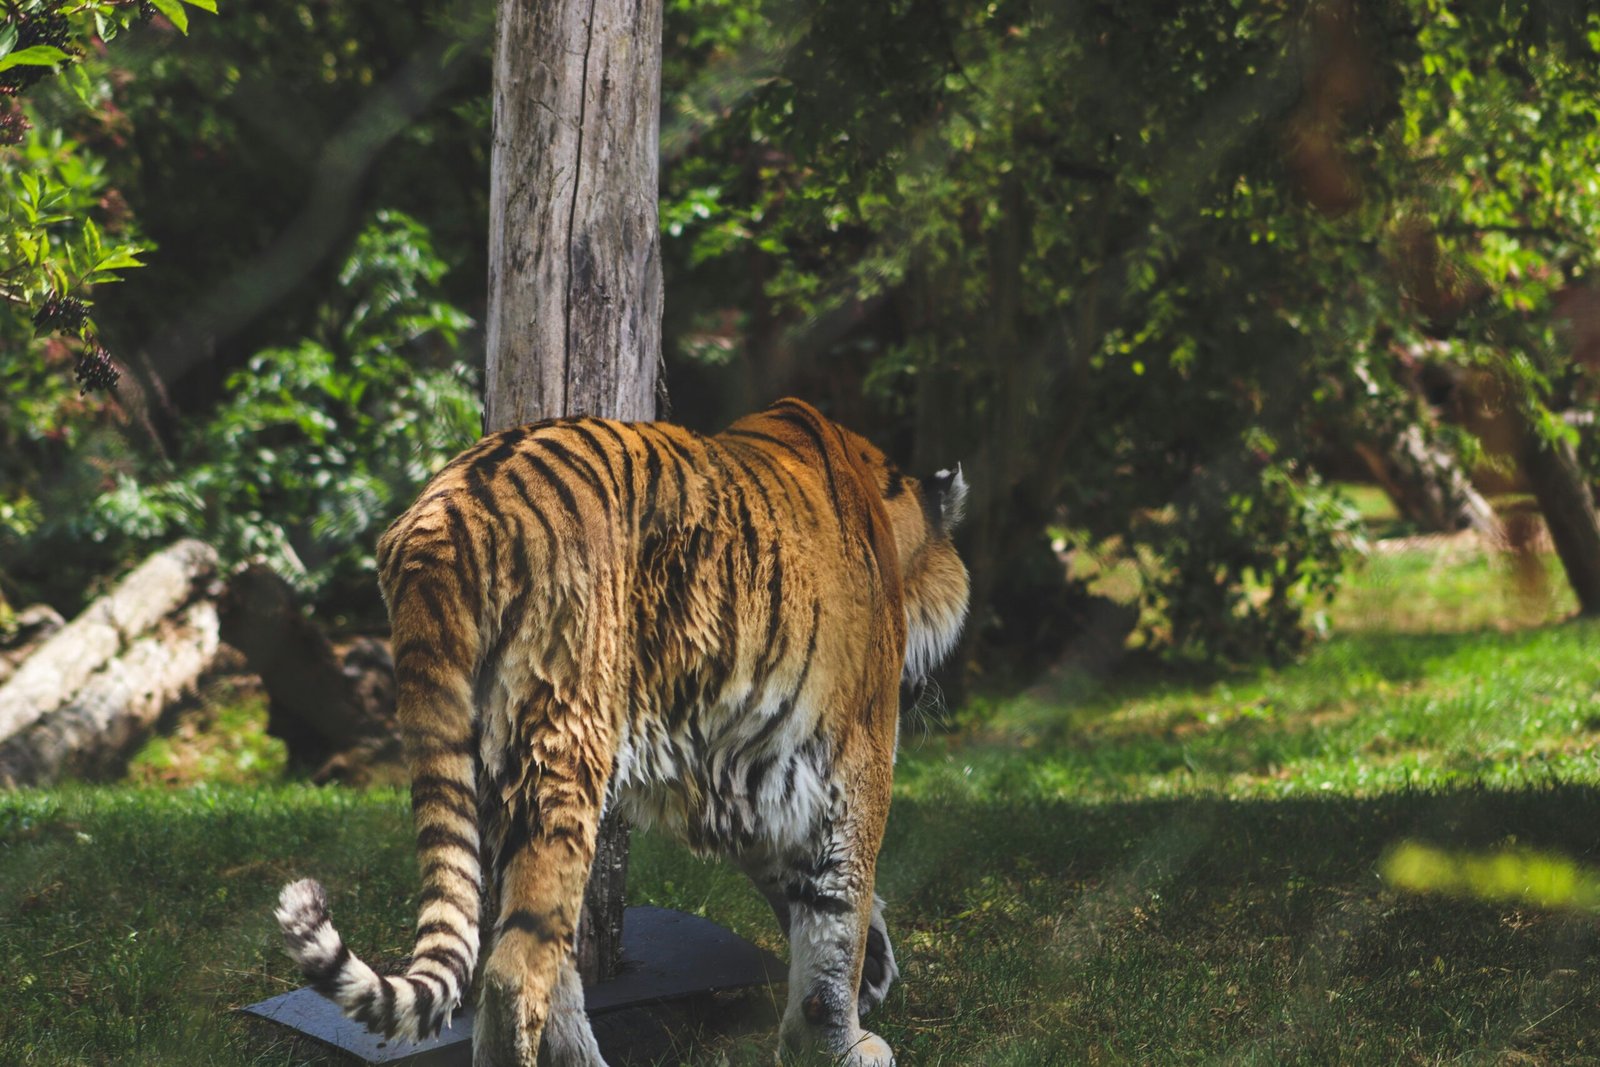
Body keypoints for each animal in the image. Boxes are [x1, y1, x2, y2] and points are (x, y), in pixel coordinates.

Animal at [273, 397, 970, 1066]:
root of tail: (443, 516)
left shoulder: (748, 772)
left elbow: (805, 890)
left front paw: (863, 980)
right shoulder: (855, 755)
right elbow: (840, 908)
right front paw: (842, 1041)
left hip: (492, 774)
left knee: (543, 955)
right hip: (561, 746)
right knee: (513, 975)